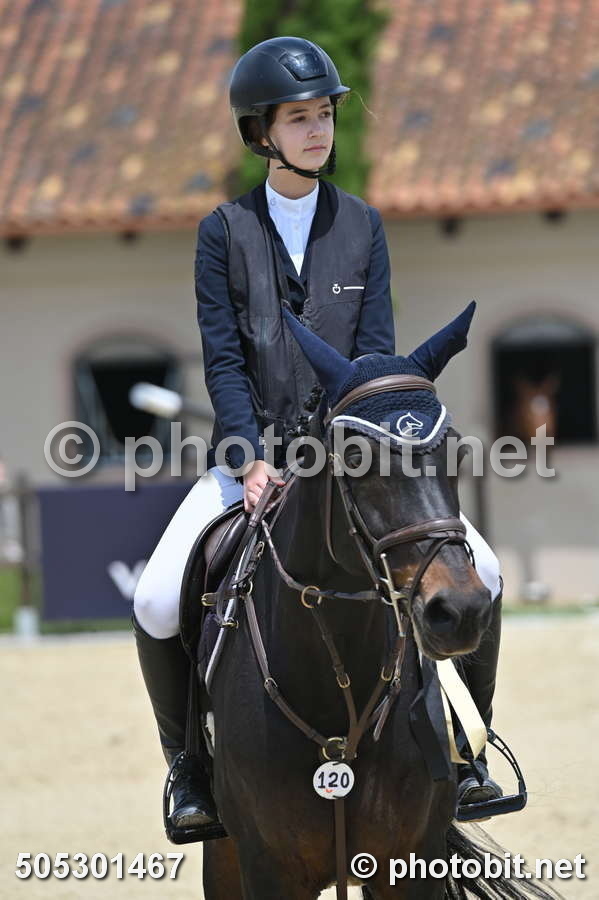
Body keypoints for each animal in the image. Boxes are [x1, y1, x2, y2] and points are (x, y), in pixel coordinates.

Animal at [199, 303, 558, 900]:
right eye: (355, 457)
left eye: (456, 451)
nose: (460, 611)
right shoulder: (266, 867)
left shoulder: (409, 862)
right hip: (223, 856)